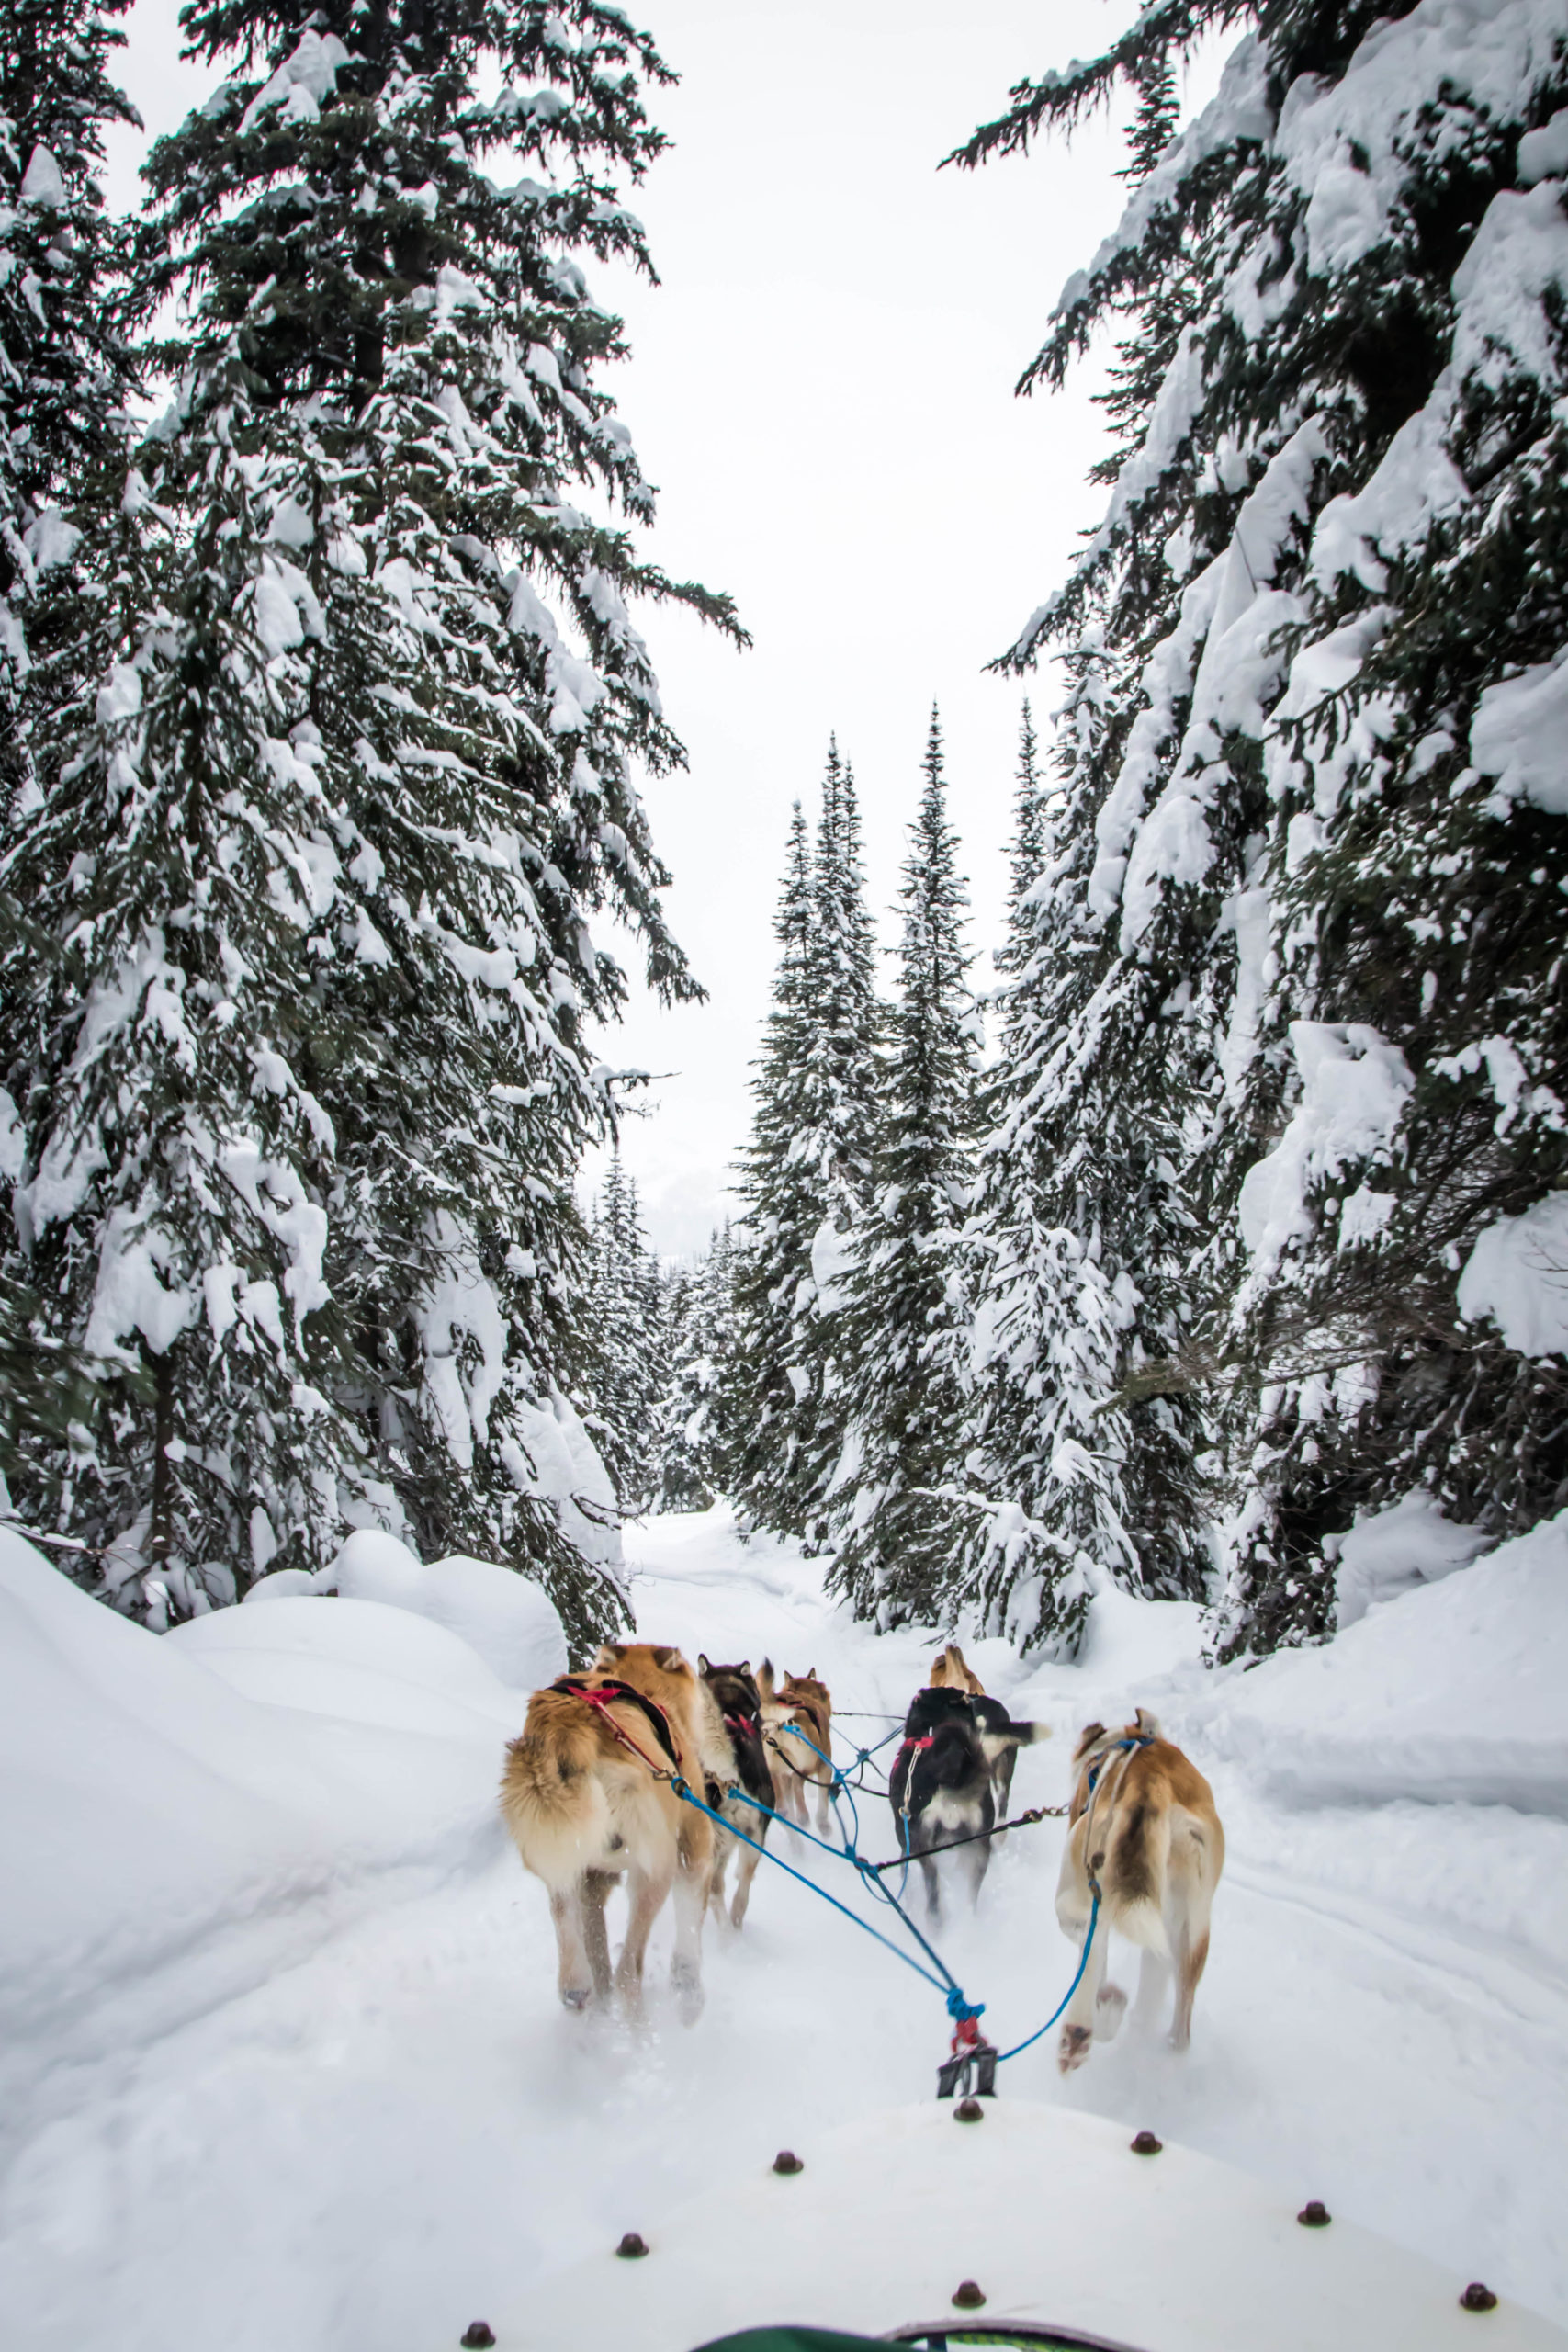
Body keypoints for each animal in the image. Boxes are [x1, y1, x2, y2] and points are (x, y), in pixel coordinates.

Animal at [502, 1636, 724, 2022]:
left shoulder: (595, 1880)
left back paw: (582, 1995)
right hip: (655, 1872)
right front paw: (689, 1989)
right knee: (626, 1974)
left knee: (582, 1955)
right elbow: (689, 1927)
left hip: (569, 1869)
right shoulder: (693, 1849)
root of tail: (567, 1730)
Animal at [757, 1656, 841, 1834]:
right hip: (808, 1762)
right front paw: (823, 1823)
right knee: (797, 1781)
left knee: (780, 1791)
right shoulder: (825, 1766)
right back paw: (803, 1816)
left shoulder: (784, 1774)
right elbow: (823, 1800)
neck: (800, 1694)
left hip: (773, 1767)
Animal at [1053, 1712, 1222, 2079]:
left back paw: (1083, 2028)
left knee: (1091, 1943)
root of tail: (1150, 1782)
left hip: (1078, 1882)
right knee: (1179, 2020)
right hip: (1188, 1929)